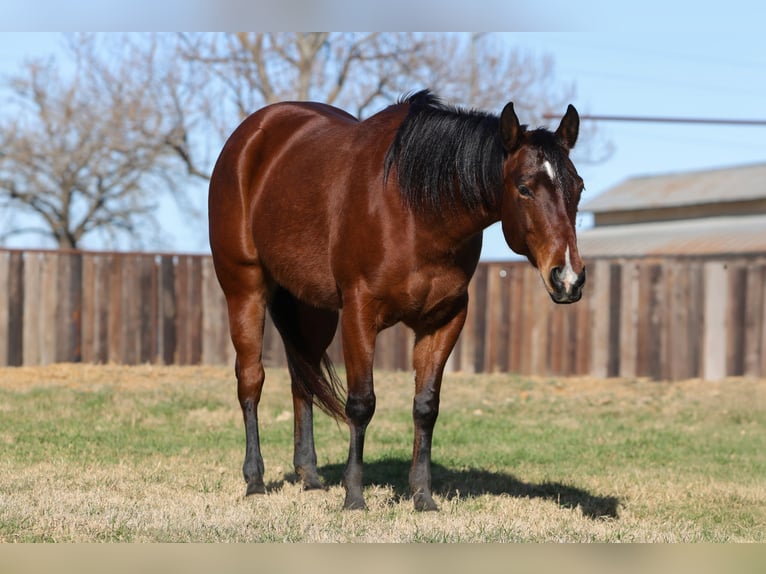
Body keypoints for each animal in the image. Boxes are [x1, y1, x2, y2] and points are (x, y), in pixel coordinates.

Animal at [208, 90, 586, 511]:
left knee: (302, 379)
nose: (568, 278)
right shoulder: (359, 312)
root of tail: (250, 135)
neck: (417, 212)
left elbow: (426, 406)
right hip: (245, 289)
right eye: (524, 187)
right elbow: (361, 404)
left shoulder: (444, 319)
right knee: (251, 379)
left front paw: (422, 495)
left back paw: (310, 476)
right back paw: (255, 480)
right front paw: (354, 496)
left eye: (579, 188)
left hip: (313, 309)